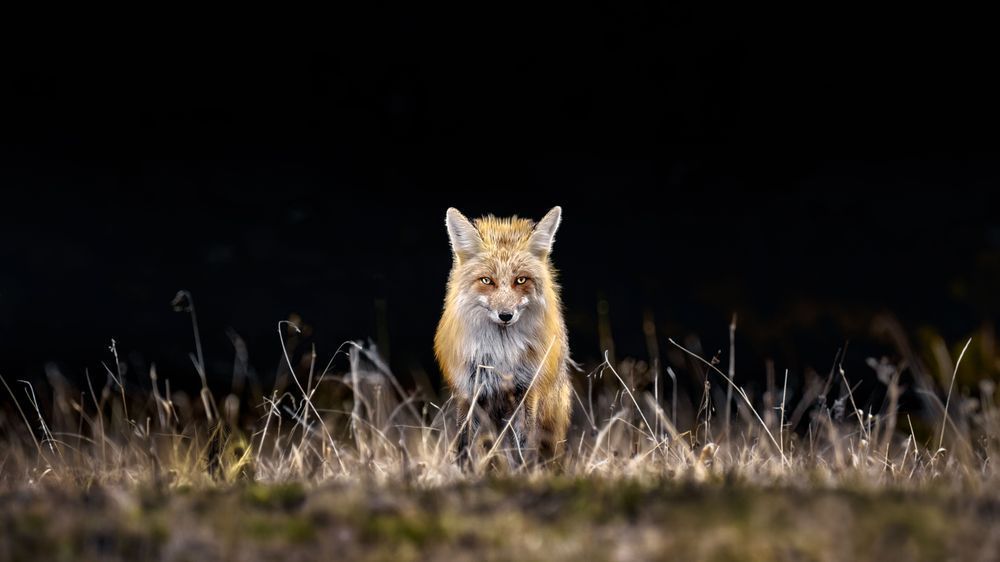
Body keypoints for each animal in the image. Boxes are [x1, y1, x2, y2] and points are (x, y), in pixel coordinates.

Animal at [434, 206, 572, 468]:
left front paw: (522, 473)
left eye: (521, 280)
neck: (501, 354)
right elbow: (464, 446)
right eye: (487, 280)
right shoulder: (469, 392)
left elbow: (523, 446)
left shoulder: (527, 391)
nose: (505, 315)